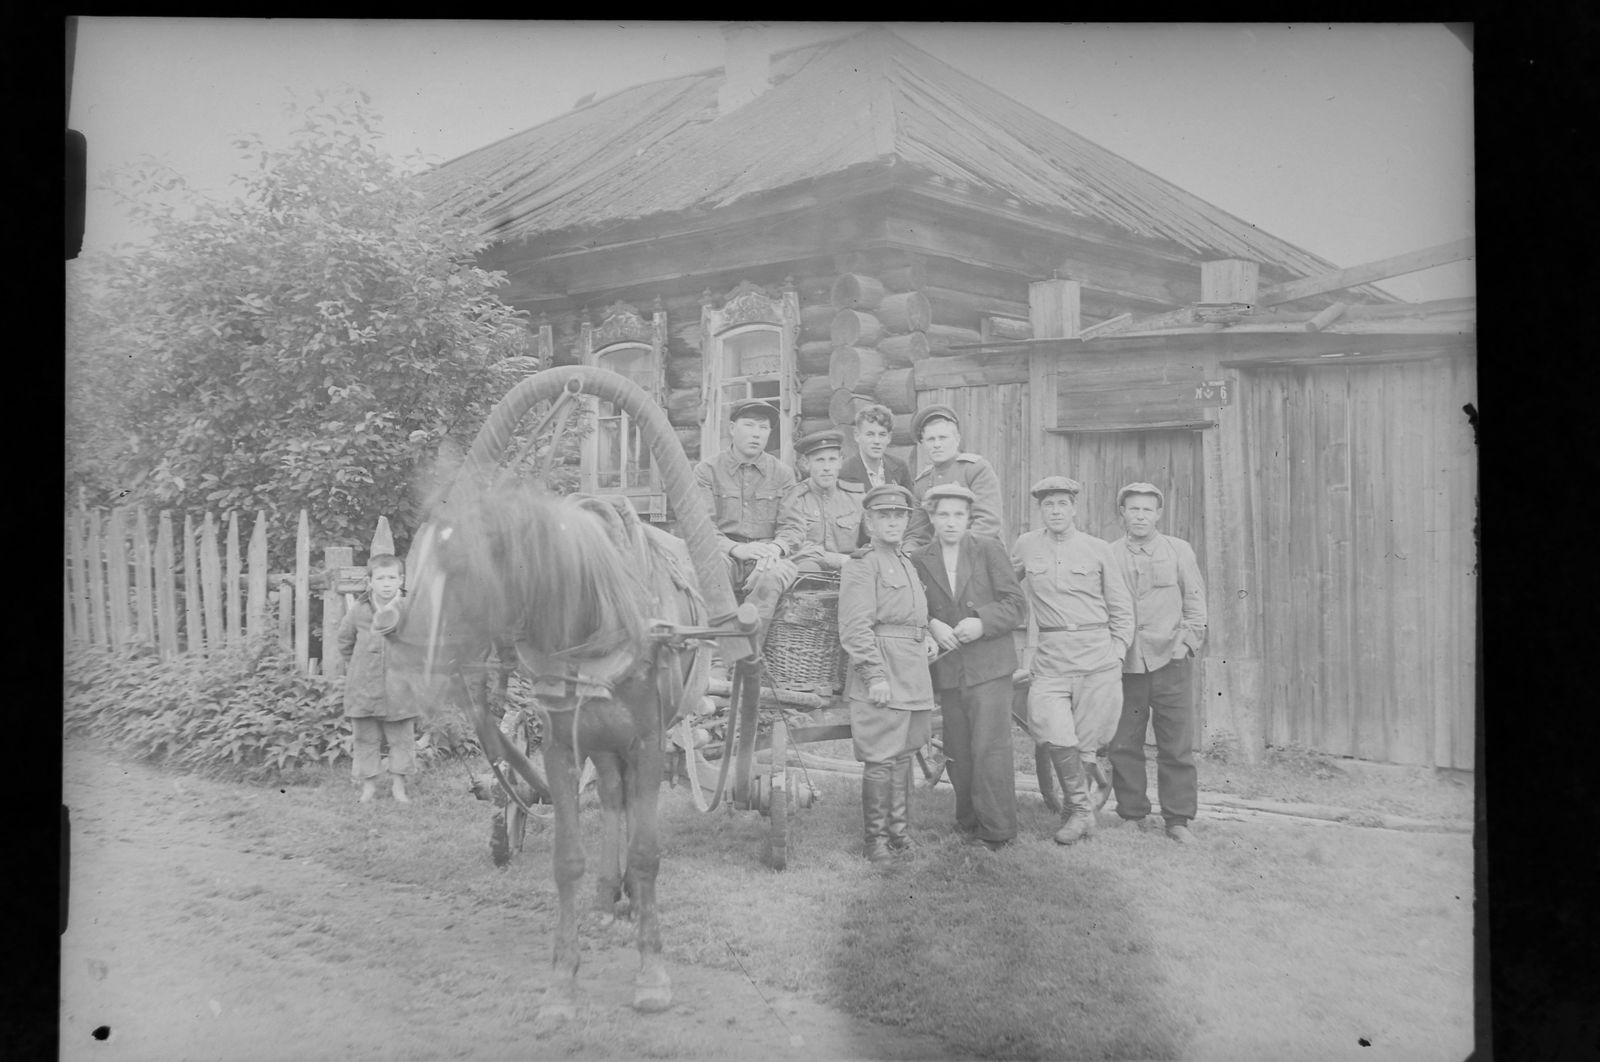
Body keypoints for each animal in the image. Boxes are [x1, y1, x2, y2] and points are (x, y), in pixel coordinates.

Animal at [393, 479, 707, 1023]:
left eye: (463, 565)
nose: (402, 644)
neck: (598, 623)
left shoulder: (647, 743)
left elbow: (647, 854)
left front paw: (652, 976)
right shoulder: (563, 746)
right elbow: (567, 859)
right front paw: (562, 983)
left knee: (626, 802)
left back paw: (627, 895)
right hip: (600, 743)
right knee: (613, 796)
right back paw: (607, 895)